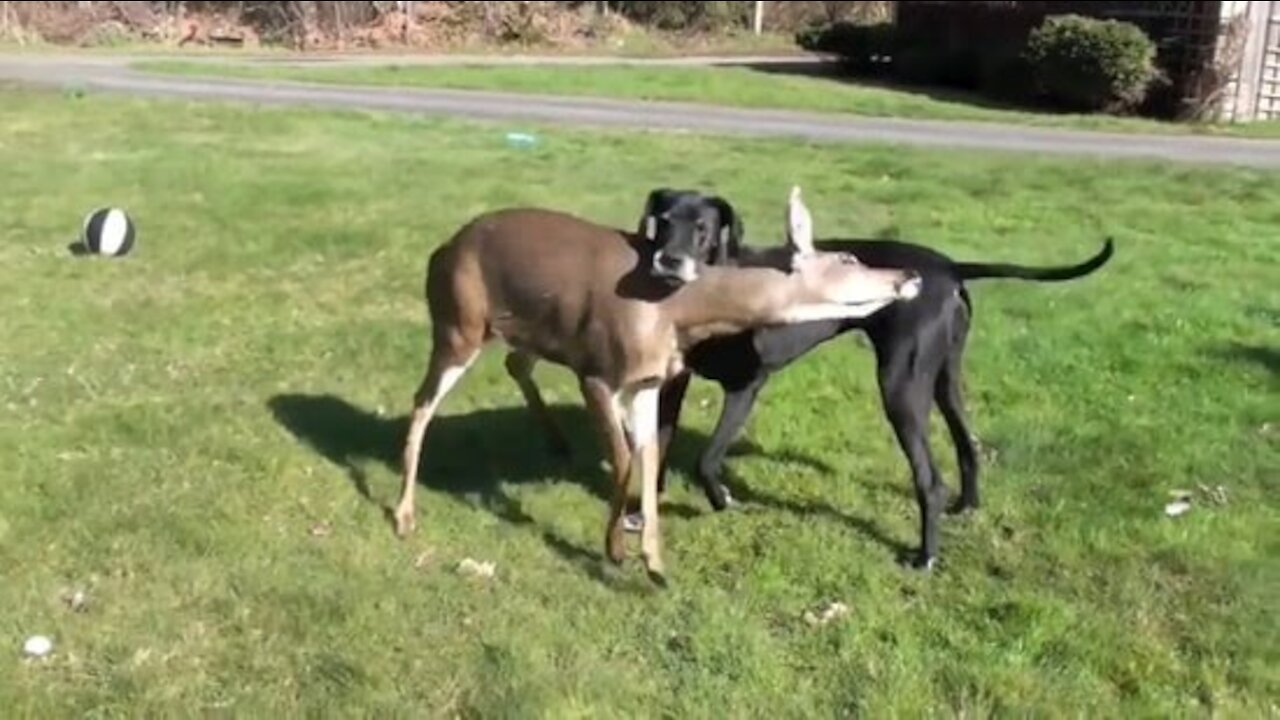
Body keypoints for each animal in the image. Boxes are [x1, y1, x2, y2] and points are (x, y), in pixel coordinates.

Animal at [637, 188, 1111, 568]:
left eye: (702, 228)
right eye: (663, 222)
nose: (668, 261)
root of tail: (950, 268)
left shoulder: (745, 386)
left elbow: (706, 460)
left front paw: (721, 500)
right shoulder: (673, 385)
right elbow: (659, 445)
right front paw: (644, 511)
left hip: (901, 385)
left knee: (930, 480)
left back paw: (925, 557)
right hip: (943, 377)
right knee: (967, 444)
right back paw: (966, 506)